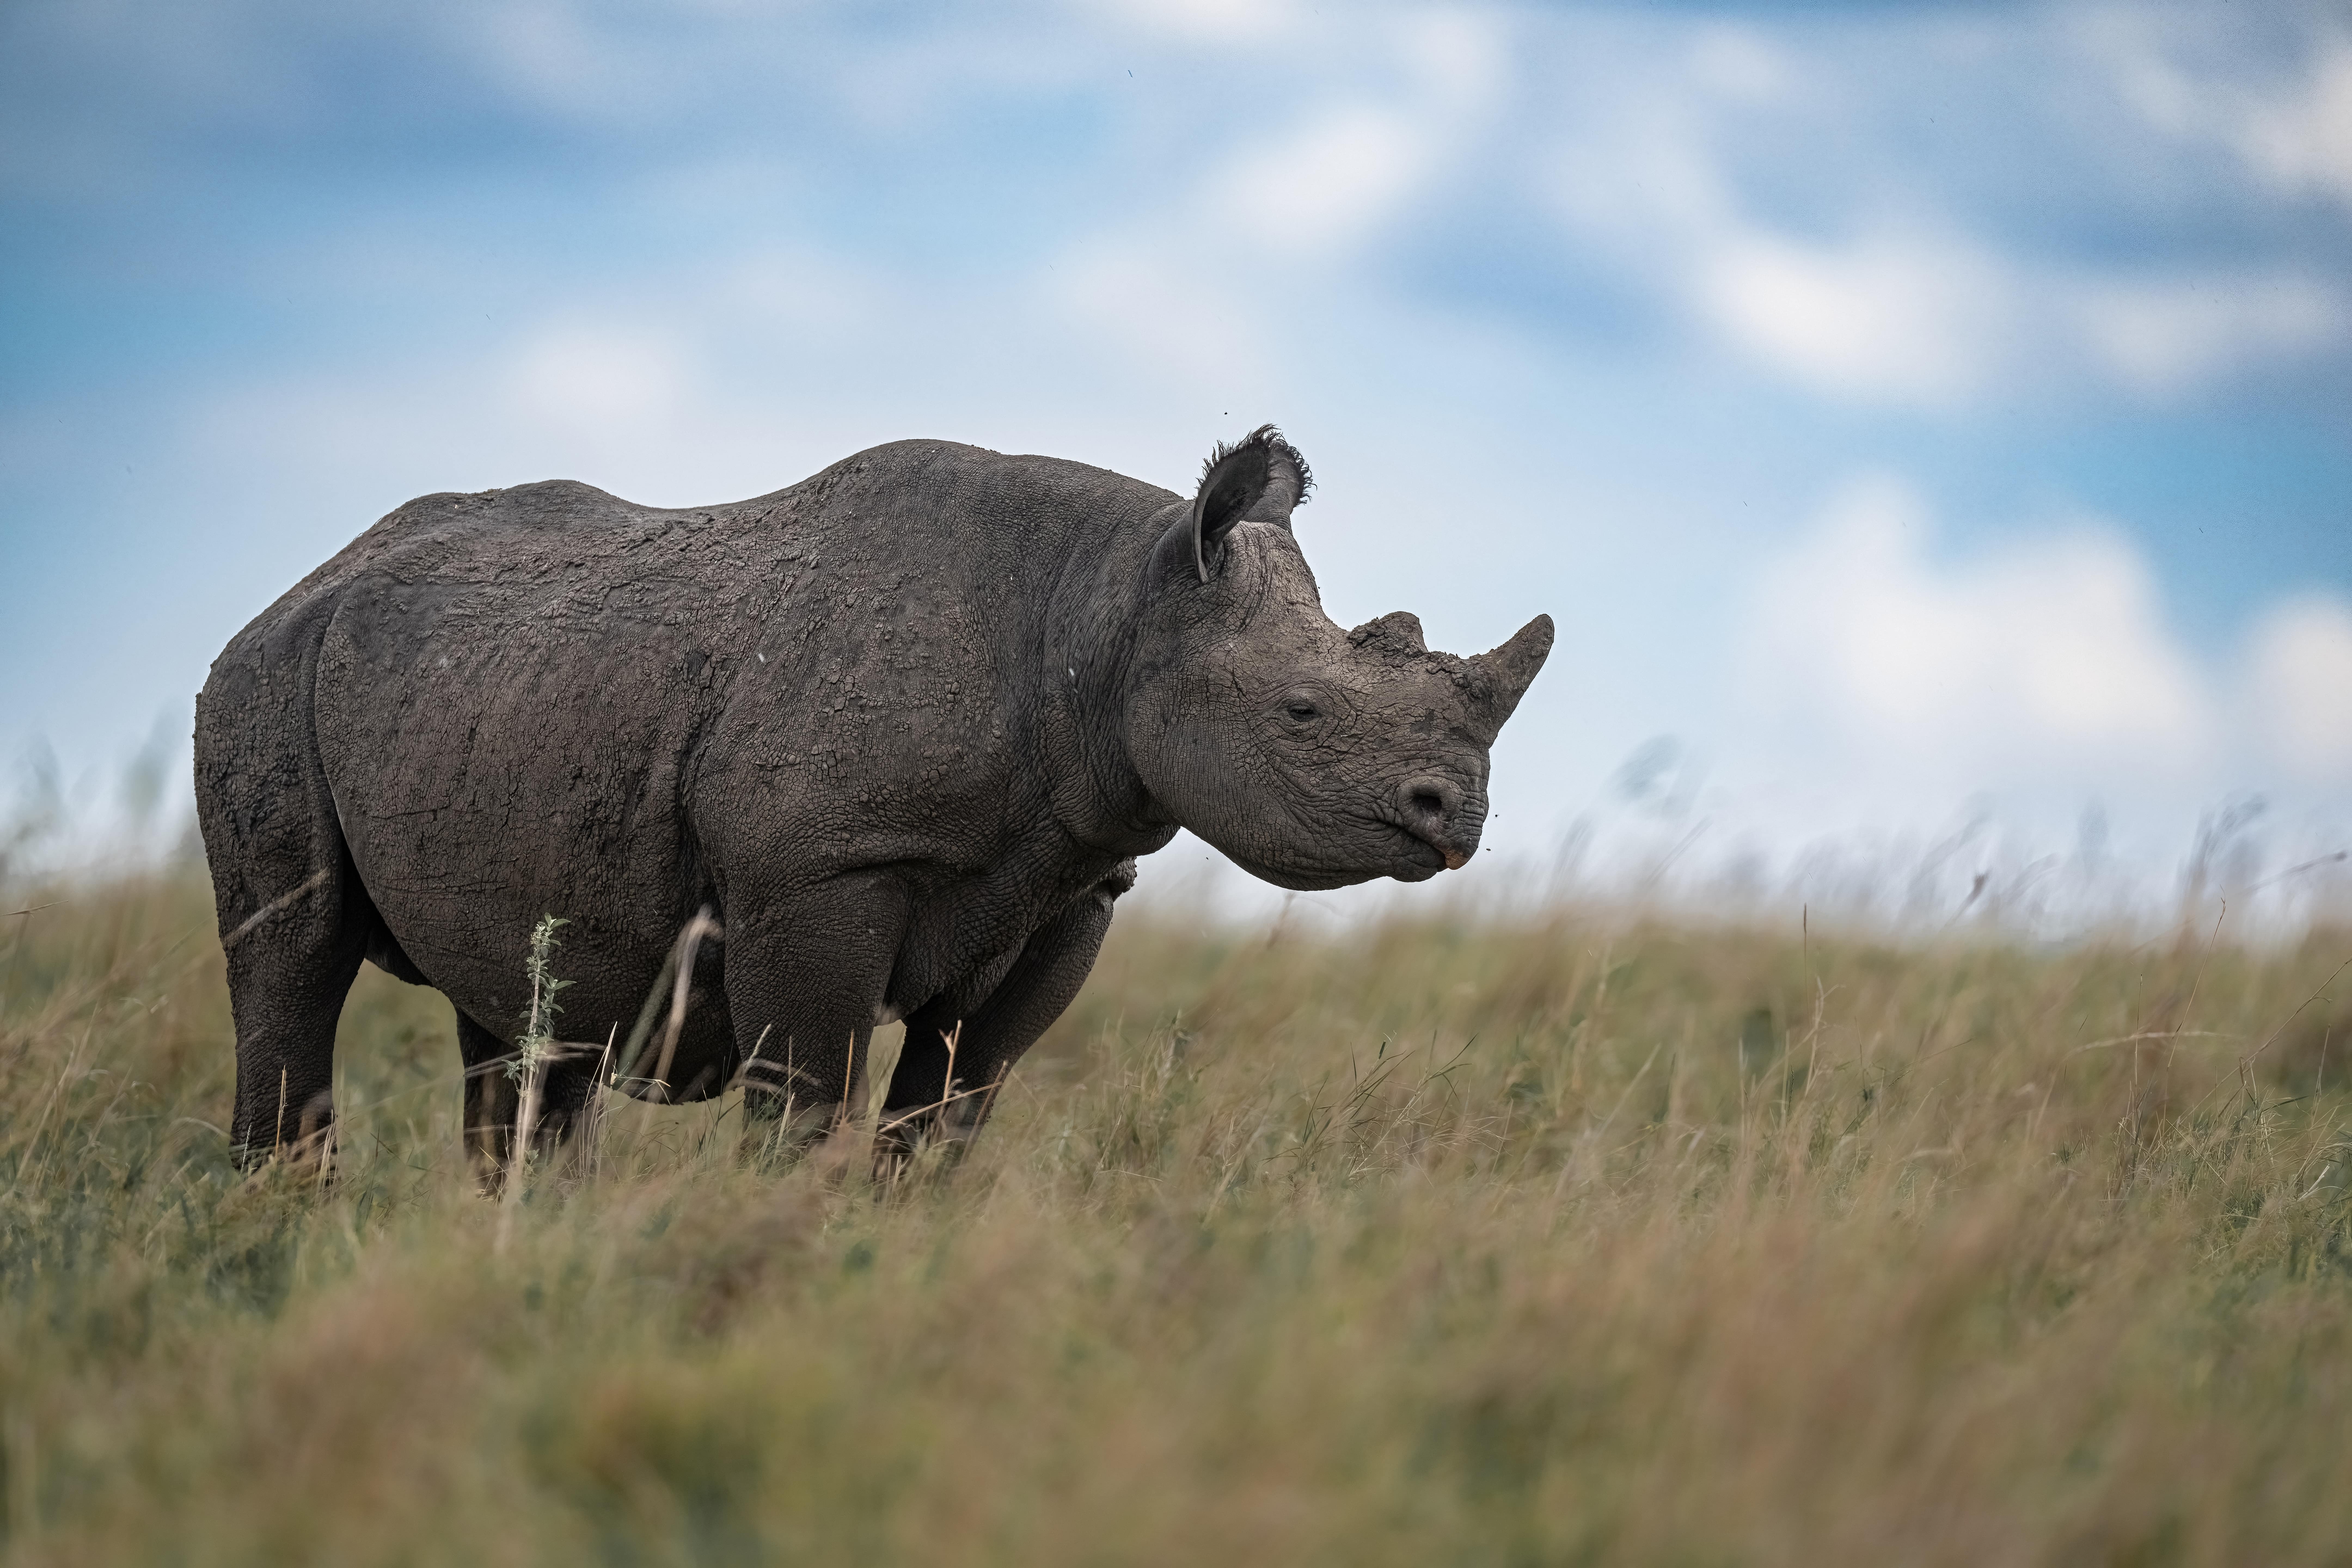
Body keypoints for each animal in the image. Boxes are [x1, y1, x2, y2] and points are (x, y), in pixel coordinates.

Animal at [194, 427, 1552, 1174]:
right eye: (1303, 714)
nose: (1456, 816)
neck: (1111, 613)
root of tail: (311, 580)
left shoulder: (1074, 888)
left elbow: (951, 1109)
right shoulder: (822, 866)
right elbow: (805, 1102)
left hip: (484, 696)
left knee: (523, 1014)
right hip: (265, 676)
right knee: (293, 953)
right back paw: (284, 1234)